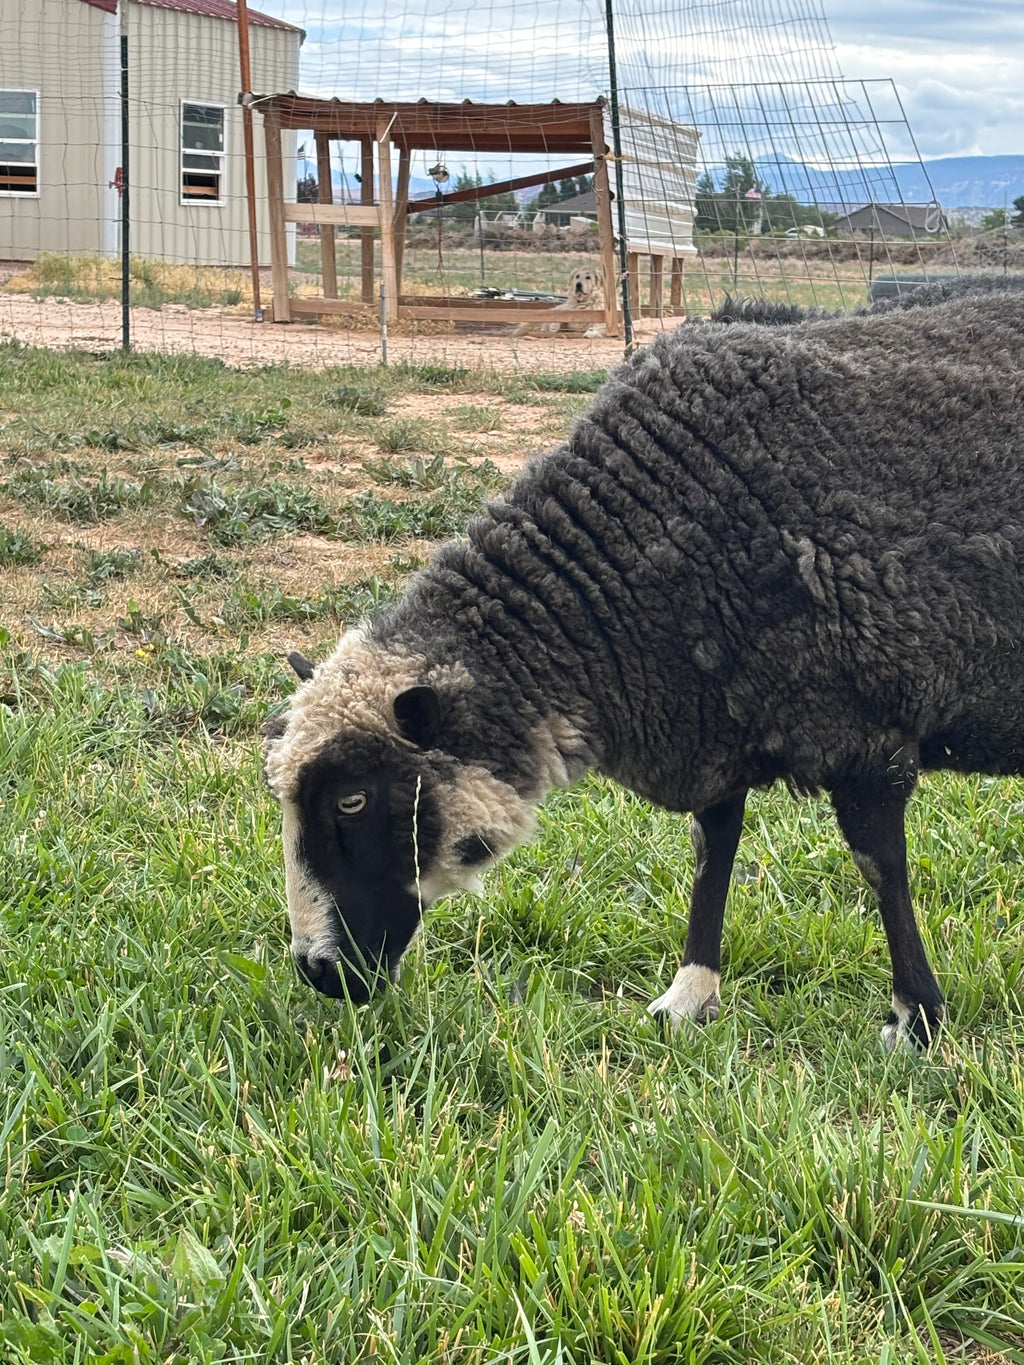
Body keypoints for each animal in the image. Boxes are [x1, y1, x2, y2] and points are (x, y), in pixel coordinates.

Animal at [264, 288, 1024, 1049]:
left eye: (353, 799)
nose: (317, 971)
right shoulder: (719, 720)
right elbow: (713, 850)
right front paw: (689, 997)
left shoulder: (869, 732)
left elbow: (879, 866)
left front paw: (915, 1017)